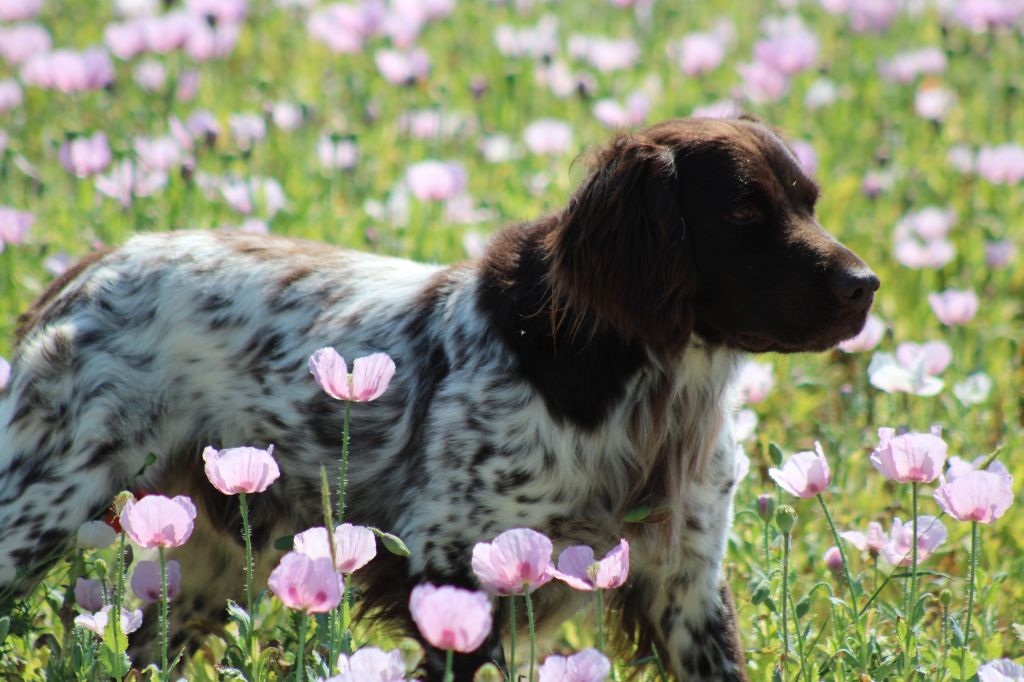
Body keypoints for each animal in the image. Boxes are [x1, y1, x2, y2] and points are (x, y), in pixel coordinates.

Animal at [0, 116, 880, 675]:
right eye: (743, 208)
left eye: (808, 199)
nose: (866, 285)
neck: (642, 389)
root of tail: (89, 270)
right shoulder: (457, 570)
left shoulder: (685, 583)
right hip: (38, 512)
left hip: (206, 566)